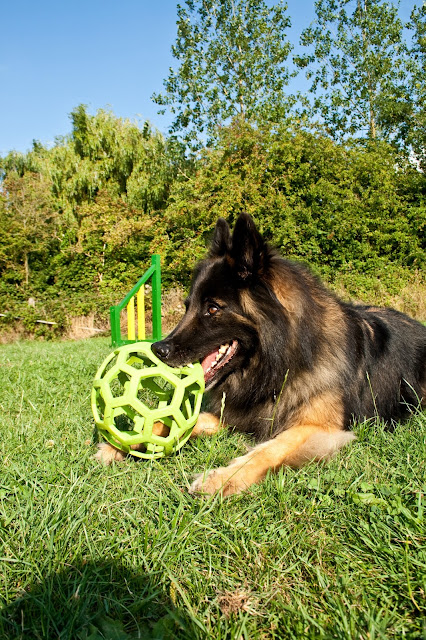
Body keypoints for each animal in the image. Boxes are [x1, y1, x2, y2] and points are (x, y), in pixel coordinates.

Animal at [97, 214, 426, 496]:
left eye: (212, 308)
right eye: (188, 306)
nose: (158, 349)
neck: (280, 365)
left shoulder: (318, 429)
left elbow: (267, 450)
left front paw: (221, 478)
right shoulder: (238, 413)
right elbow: (178, 421)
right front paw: (123, 442)